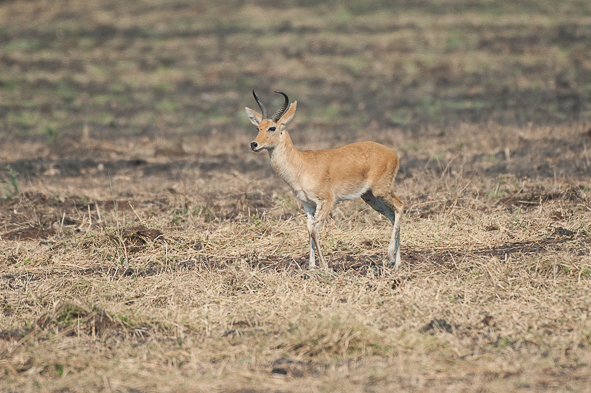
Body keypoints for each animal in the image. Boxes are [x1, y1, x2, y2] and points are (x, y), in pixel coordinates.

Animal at [246, 92, 408, 270]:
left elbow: (314, 230)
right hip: (370, 197)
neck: (301, 165)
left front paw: (325, 267)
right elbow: (309, 229)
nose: (254, 144)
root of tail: (392, 152)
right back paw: (397, 262)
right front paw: (311, 267)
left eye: (272, 127)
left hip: (381, 191)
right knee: (392, 215)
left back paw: (391, 257)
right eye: (258, 127)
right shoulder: (308, 204)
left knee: (400, 207)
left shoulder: (326, 200)